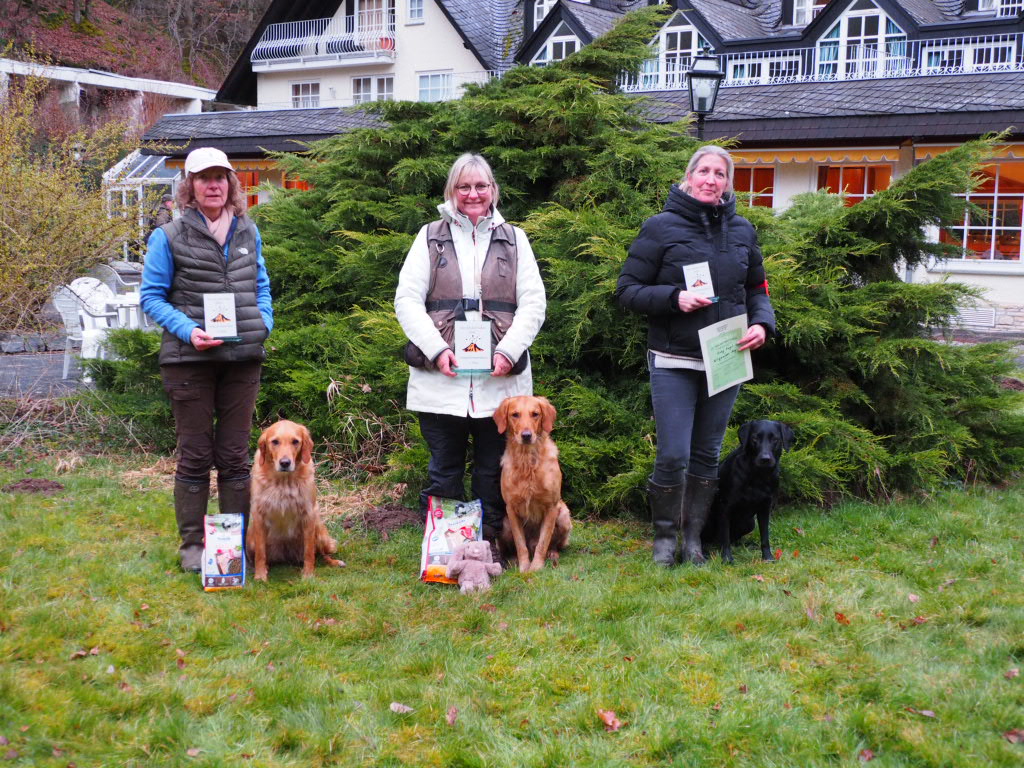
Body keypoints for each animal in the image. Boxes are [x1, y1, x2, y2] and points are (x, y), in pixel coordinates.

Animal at [248, 420, 345, 581]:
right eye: (275, 441)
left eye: (295, 441)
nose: (285, 463)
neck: (283, 482)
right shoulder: (259, 515)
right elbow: (260, 554)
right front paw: (260, 575)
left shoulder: (309, 514)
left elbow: (309, 552)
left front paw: (308, 574)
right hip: (250, 540)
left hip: (320, 531)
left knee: (321, 554)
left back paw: (334, 562)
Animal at [493, 395, 572, 573]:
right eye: (515, 414)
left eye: (535, 414)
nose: (526, 435)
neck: (527, 460)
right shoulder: (511, 508)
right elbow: (520, 544)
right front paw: (524, 567)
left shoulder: (551, 506)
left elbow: (543, 543)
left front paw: (536, 567)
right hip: (504, 523)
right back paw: (513, 559)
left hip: (564, 515)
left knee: (551, 544)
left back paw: (553, 553)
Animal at [702, 419, 794, 563]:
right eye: (755, 438)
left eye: (775, 439)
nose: (765, 459)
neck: (758, 476)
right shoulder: (725, 507)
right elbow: (725, 537)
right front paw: (727, 559)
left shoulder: (765, 508)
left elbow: (765, 537)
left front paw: (768, 557)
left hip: (749, 523)